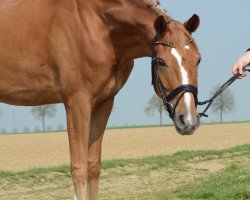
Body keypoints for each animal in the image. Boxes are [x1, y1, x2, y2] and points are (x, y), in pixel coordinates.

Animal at [0, 0, 200, 200]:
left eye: (198, 60)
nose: (188, 120)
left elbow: (93, 166)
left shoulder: (103, 103)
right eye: (160, 61)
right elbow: (79, 168)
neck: (99, 26)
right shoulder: (77, 102)